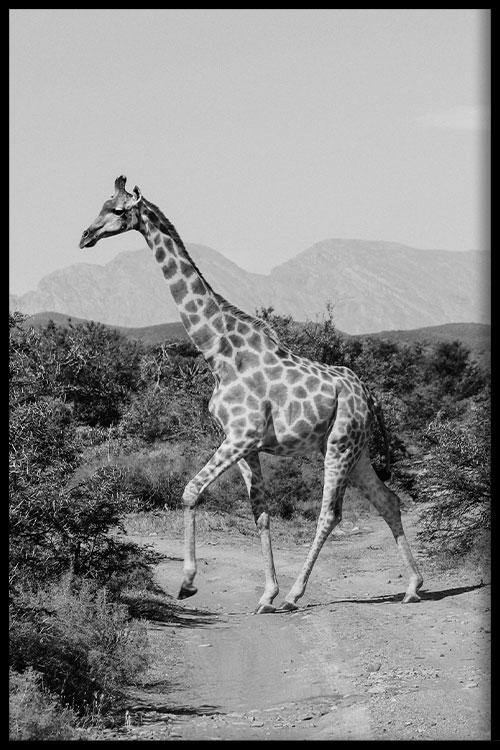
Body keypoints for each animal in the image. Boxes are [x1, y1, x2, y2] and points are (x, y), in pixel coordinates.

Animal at [79, 176, 423, 613]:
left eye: (119, 210)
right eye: (102, 203)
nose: (85, 236)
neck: (219, 353)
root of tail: (366, 393)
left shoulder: (242, 436)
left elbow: (190, 491)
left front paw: (188, 582)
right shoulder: (245, 444)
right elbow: (260, 513)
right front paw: (265, 594)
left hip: (340, 444)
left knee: (330, 513)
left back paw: (296, 595)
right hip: (356, 449)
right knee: (388, 500)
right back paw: (412, 586)